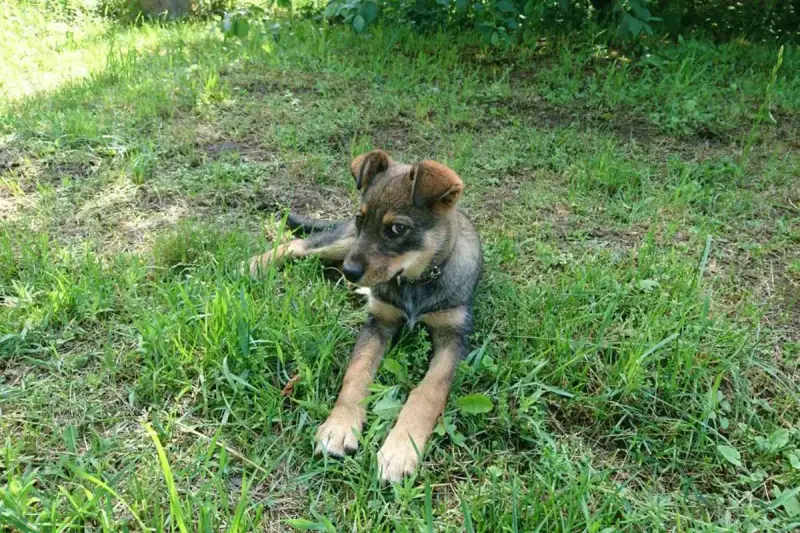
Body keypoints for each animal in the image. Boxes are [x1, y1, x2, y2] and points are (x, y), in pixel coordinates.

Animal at [248, 150, 482, 482]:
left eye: (397, 229)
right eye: (362, 219)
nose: (350, 271)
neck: (416, 281)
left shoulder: (453, 336)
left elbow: (429, 390)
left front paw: (401, 449)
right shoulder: (378, 323)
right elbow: (357, 373)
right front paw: (340, 426)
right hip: (343, 243)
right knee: (298, 245)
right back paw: (254, 265)